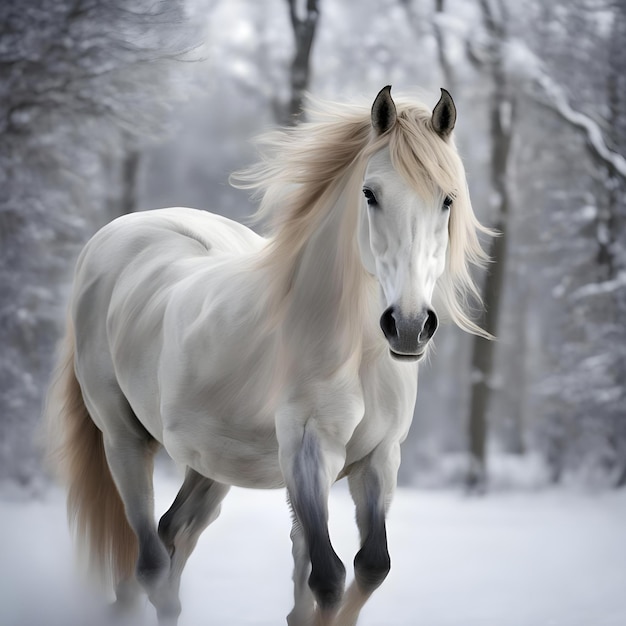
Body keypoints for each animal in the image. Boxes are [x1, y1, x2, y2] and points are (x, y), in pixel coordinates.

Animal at [45, 84, 492, 624]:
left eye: (447, 199)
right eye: (370, 193)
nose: (407, 326)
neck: (354, 352)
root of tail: (118, 234)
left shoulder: (380, 457)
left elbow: (370, 567)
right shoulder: (307, 452)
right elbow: (327, 578)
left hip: (209, 464)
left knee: (173, 536)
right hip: (123, 439)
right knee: (150, 562)